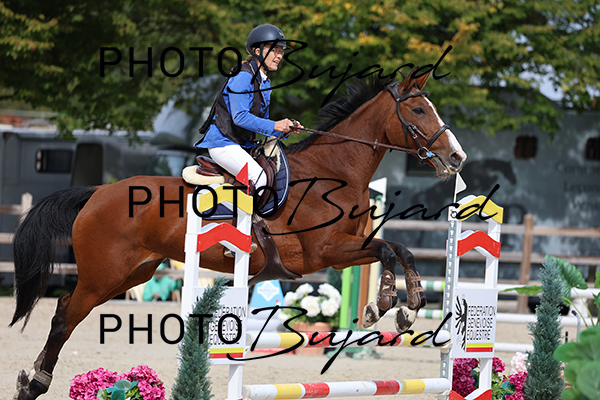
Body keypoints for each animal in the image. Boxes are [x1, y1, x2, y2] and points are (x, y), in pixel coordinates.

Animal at [10, 69, 466, 399]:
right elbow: (391, 250)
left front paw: (409, 305)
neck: (334, 172)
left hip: (132, 273)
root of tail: (98, 192)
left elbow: (399, 249)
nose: (457, 158)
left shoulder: (344, 251)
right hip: (103, 274)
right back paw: (35, 384)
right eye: (419, 110)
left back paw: (31, 380)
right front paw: (386, 305)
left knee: (66, 307)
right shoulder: (327, 252)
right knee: (64, 317)